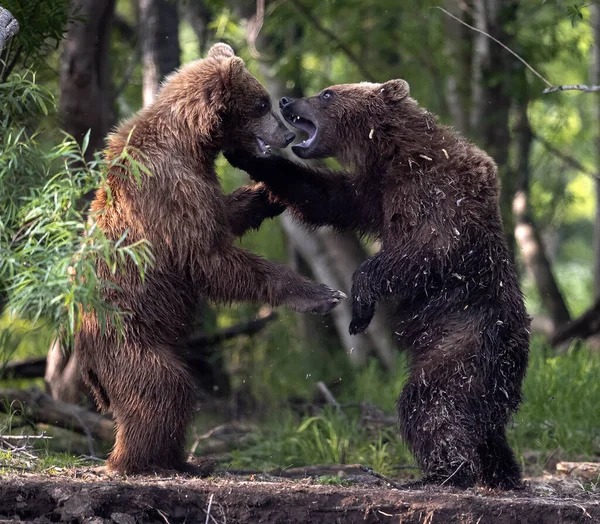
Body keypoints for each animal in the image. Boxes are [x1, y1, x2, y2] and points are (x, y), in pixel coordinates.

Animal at [76, 45, 346, 476]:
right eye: (262, 102)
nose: (287, 135)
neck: (191, 143)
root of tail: (83, 358)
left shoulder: (199, 184)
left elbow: (225, 218)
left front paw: (271, 191)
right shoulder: (170, 192)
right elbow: (208, 258)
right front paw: (321, 294)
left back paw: (185, 459)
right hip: (129, 333)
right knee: (160, 389)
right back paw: (143, 461)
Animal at [225, 80, 528, 490]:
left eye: (327, 93)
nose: (287, 100)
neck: (395, 153)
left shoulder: (438, 195)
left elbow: (425, 251)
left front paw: (359, 309)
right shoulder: (375, 191)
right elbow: (327, 198)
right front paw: (245, 155)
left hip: (463, 340)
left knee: (432, 402)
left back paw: (444, 473)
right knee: (486, 428)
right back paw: (503, 472)